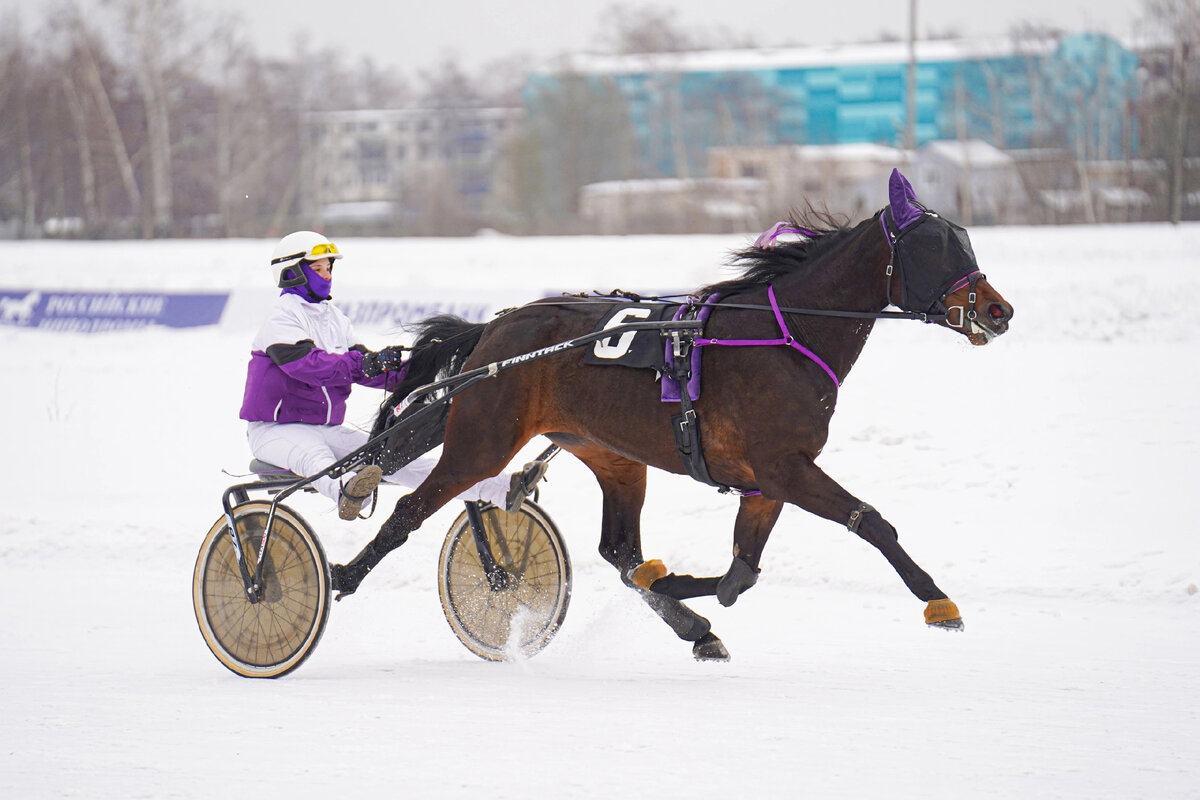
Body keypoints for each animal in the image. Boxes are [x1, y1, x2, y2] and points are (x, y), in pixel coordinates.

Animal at [328, 165, 1012, 662]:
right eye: (934, 247)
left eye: (964, 240)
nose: (998, 311)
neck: (782, 337)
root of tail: (498, 329)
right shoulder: (785, 467)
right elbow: (871, 522)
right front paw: (940, 604)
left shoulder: (767, 481)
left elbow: (740, 576)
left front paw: (678, 590)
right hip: (482, 436)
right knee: (410, 507)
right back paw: (341, 572)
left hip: (609, 453)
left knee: (620, 550)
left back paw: (688, 621)